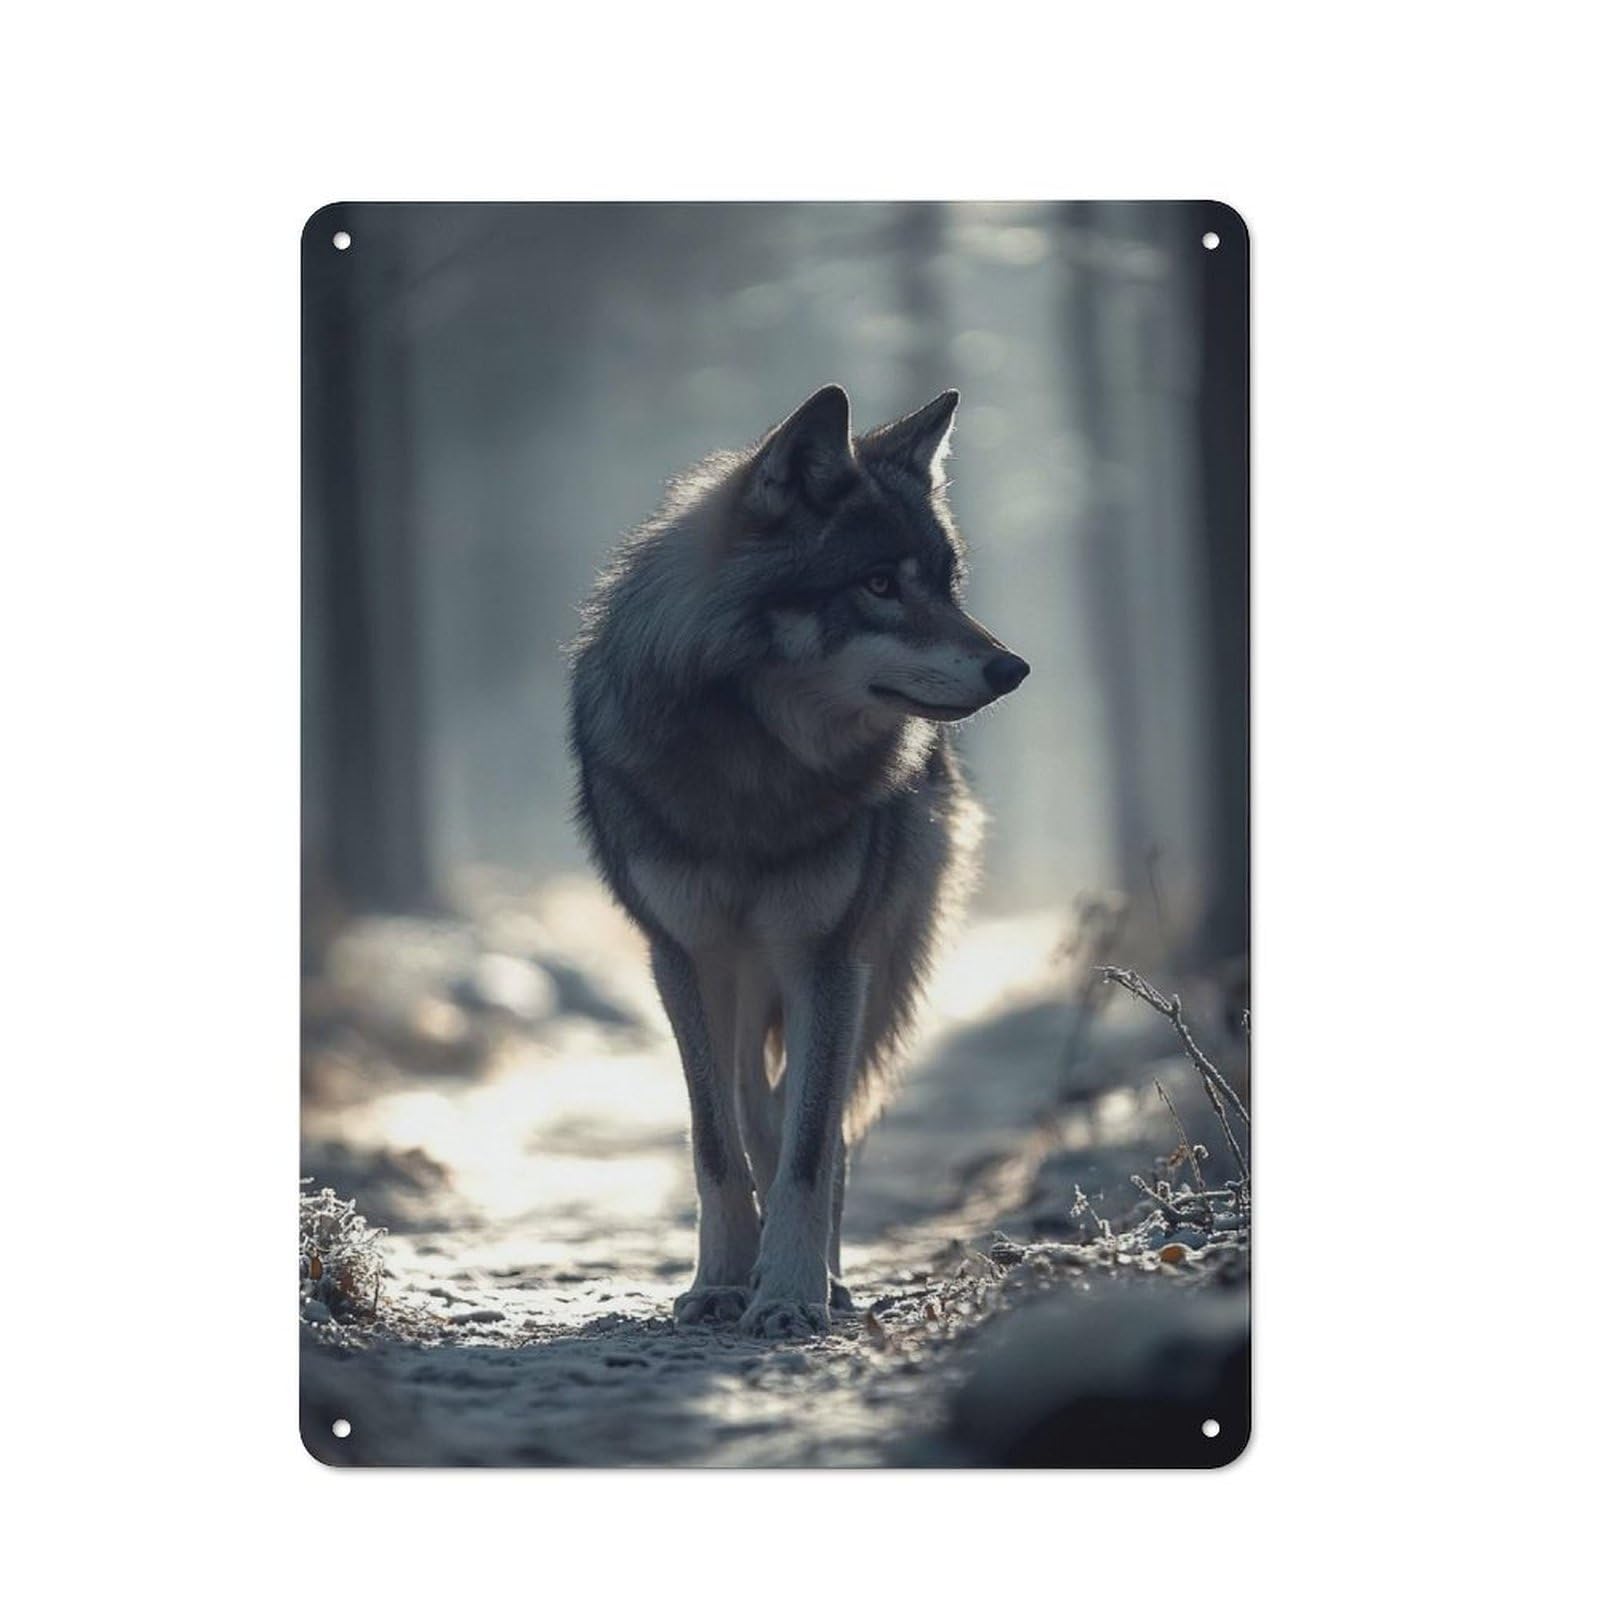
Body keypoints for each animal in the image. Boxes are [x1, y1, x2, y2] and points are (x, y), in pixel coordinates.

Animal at [568, 384, 1030, 1337]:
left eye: (947, 584)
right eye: (880, 584)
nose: (1013, 669)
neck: (758, 767)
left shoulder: (829, 958)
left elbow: (813, 1146)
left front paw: (788, 1293)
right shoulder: (684, 958)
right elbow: (717, 1142)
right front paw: (720, 1283)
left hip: (876, 971)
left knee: (823, 1121)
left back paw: (832, 1277)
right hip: (750, 981)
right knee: (755, 1107)